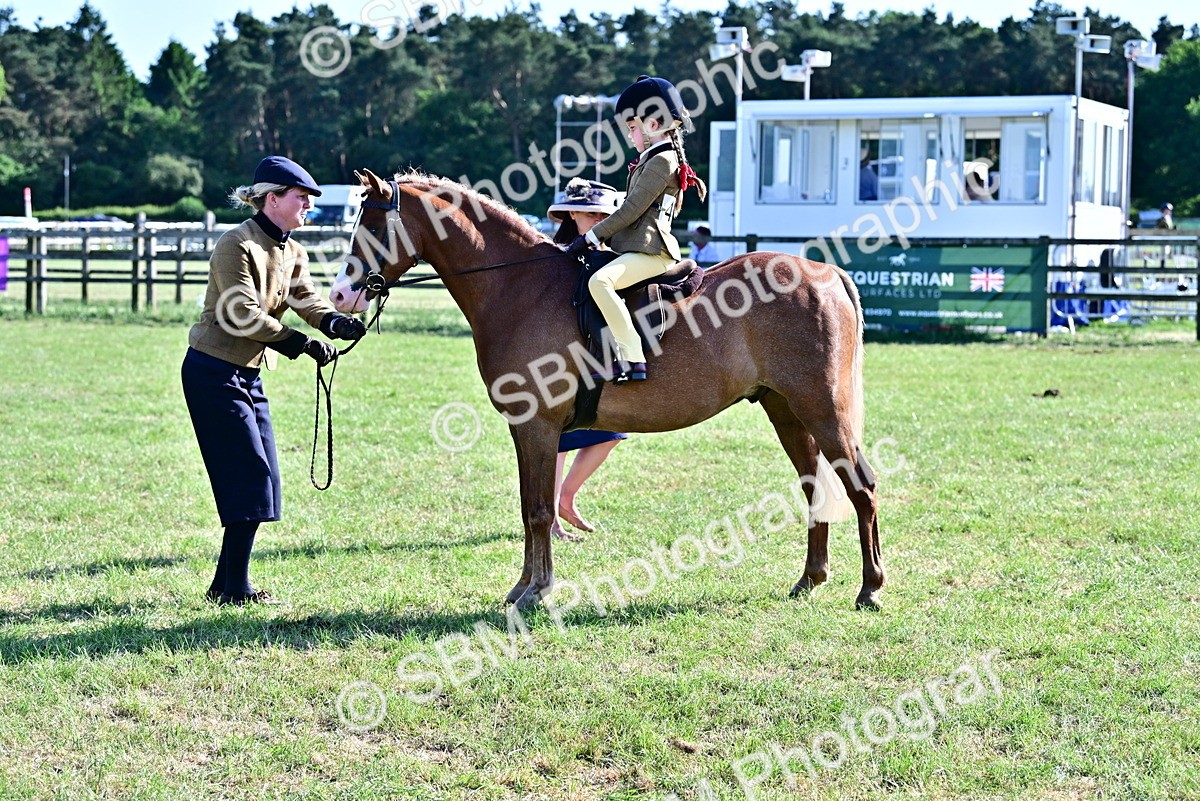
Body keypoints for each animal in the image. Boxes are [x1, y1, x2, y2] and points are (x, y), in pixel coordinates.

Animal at [329, 168, 885, 611]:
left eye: (372, 226)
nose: (340, 294)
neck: (521, 288)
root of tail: (824, 271)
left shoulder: (537, 427)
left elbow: (538, 511)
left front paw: (537, 591)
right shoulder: (527, 431)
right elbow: (531, 507)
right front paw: (524, 586)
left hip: (822, 411)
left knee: (861, 484)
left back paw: (870, 587)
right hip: (787, 411)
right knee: (814, 484)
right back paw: (810, 579)